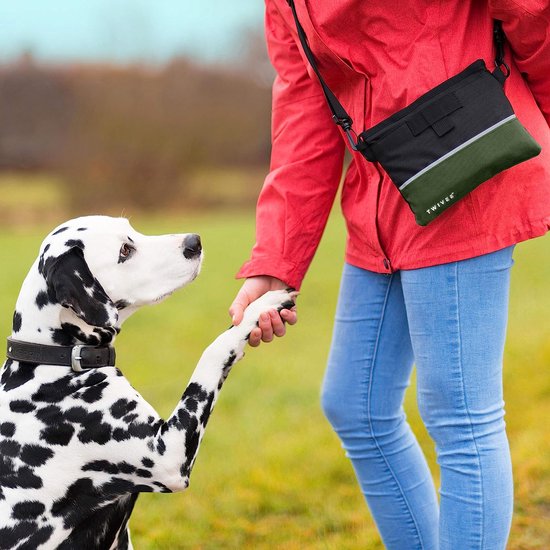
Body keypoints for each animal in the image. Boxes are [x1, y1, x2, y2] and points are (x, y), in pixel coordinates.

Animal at [0, 216, 298, 550]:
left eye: (131, 228)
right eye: (125, 250)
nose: (194, 242)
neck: (52, 361)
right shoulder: (169, 454)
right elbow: (214, 350)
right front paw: (259, 307)